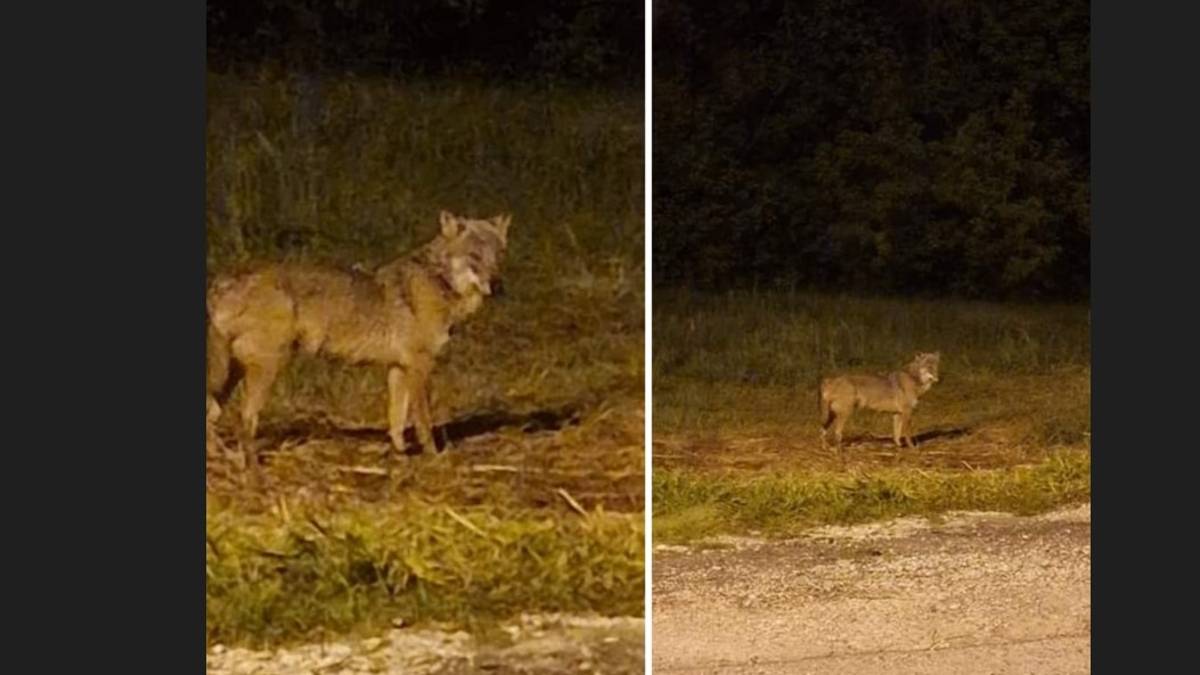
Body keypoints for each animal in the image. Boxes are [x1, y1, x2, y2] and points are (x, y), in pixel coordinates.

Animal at [206, 210, 511, 464]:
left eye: (498, 256)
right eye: (474, 256)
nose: (497, 285)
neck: (440, 282)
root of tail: (222, 281)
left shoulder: (398, 369)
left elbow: (396, 422)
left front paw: (399, 456)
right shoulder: (419, 367)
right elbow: (423, 423)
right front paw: (434, 457)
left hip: (233, 373)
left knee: (212, 414)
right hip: (267, 367)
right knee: (244, 418)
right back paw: (250, 465)